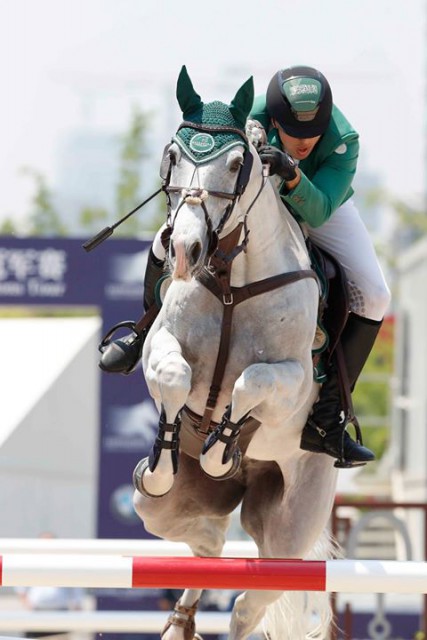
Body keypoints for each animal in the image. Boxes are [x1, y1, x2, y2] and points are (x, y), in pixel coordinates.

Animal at [132, 66, 340, 640]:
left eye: (235, 164)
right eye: (172, 155)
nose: (184, 250)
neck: (232, 281)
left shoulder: (293, 381)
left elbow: (252, 382)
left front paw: (222, 450)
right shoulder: (159, 346)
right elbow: (174, 376)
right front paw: (169, 452)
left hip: (291, 530)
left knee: (251, 603)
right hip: (165, 510)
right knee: (208, 544)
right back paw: (179, 621)